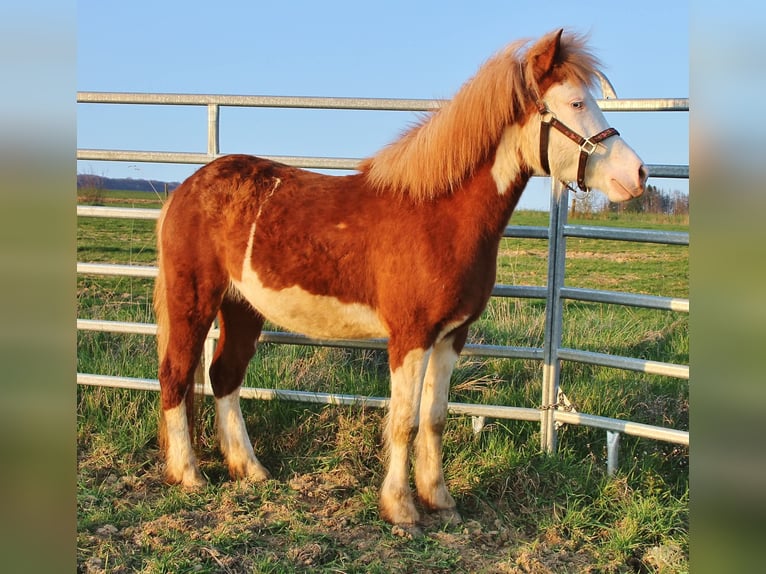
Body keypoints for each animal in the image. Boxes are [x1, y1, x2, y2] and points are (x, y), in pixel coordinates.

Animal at [153, 28, 647, 530]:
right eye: (575, 103)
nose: (638, 174)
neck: (438, 215)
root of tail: (186, 189)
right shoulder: (410, 336)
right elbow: (405, 420)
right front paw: (402, 508)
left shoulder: (451, 336)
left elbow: (435, 418)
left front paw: (441, 501)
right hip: (194, 299)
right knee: (175, 376)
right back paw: (189, 474)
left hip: (242, 307)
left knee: (224, 376)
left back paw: (249, 469)